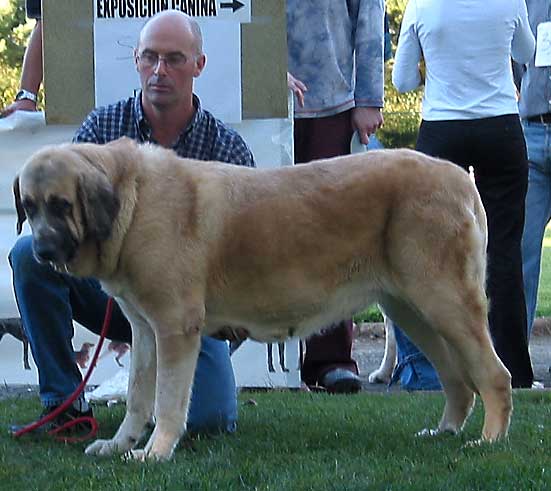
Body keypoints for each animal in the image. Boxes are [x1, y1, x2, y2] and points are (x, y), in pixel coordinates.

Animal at [12, 137, 512, 462]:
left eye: (61, 205)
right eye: (29, 206)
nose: (41, 252)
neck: (131, 201)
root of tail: (460, 177)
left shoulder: (174, 328)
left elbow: (168, 400)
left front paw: (156, 453)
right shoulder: (145, 331)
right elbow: (138, 397)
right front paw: (120, 445)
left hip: (446, 303)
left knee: (494, 375)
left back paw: (488, 441)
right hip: (414, 312)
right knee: (458, 381)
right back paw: (444, 432)